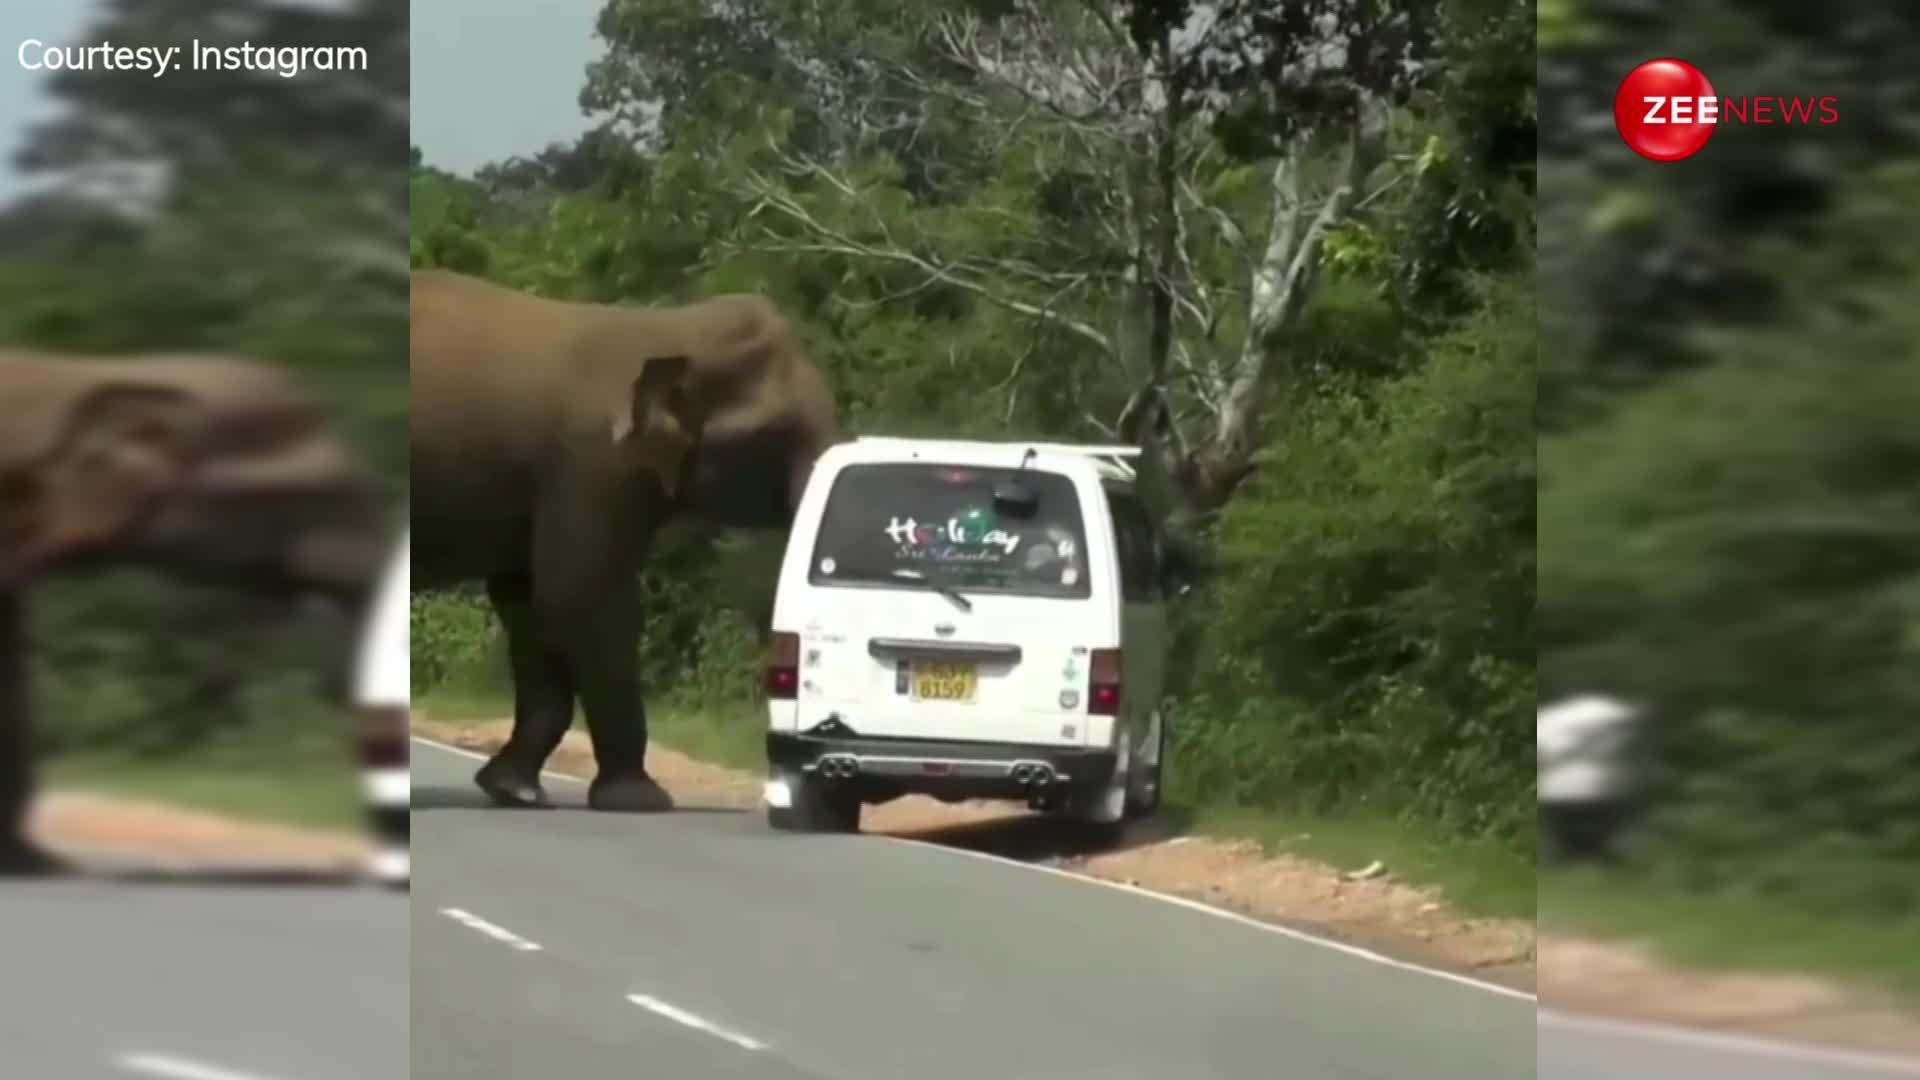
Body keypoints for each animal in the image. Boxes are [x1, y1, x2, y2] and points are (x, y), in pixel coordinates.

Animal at [412, 269, 840, 807]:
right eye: (779, 431)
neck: (667, 326)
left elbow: (530, 602)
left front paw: (514, 790)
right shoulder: (594, 467)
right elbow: (584, 598)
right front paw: (643, 801)